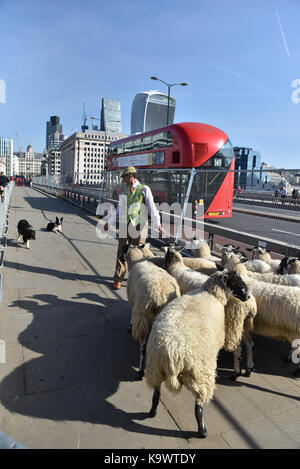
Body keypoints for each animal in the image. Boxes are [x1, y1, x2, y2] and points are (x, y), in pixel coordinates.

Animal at [122, 243, 180, 378]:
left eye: (124, 248)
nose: (120, 258)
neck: (136, 261)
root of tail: (162, 297)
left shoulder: (134, 303)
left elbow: (131, 316)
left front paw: (129, 327)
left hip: (143, 316)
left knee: (143, 347)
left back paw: (141, 371)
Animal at [145, 268, 251, 436]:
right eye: (235, 282)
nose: (248, 296)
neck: (211, 293)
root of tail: (171, 353)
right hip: (200, 374)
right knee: (198, 407)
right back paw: (202, 431)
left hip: (155, 368)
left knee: (156, 394)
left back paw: (152, 412)